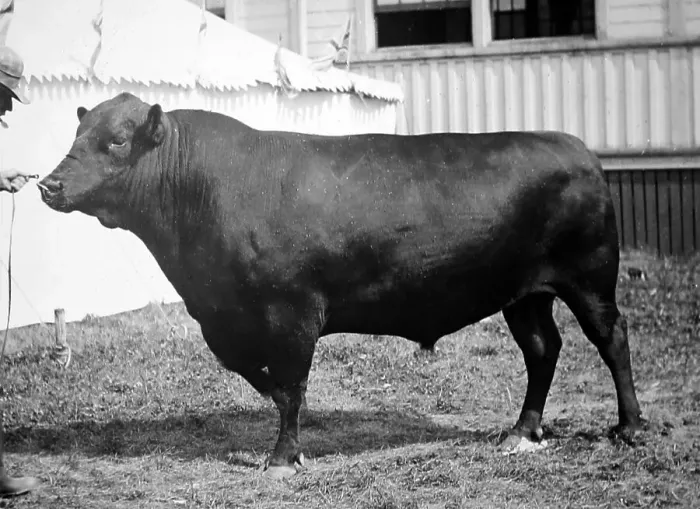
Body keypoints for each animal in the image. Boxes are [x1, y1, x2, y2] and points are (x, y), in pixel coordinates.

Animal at [39, 92, 643, 478]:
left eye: (118, 141)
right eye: (77, 133)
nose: (49, 183)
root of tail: (575, 147)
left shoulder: (291, 311)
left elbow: (291, 385)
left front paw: (283, 458)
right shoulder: (222, 318)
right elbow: (261, 378)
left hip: (589, 277)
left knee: (611, 338)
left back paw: (630, 427)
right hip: (524, 293)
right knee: (543, 349)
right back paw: (522, 431)